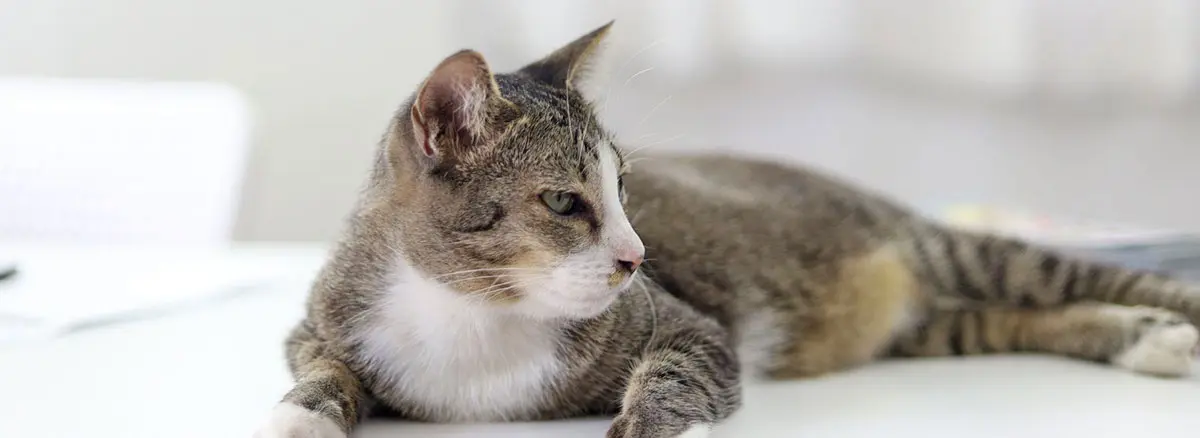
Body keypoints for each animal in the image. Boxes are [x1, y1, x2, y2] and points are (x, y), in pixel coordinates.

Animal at [255, 23, 1200, 436]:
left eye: (624, 188)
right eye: (564, 203)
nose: (637, 256)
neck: (475, 319)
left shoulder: (689, 324)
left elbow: (681, 368)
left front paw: (647, 425)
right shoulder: (317, 324)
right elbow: (323, 369)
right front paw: (302, 418)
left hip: (954, 251)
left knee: (1077, 278)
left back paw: (1167, 322)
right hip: (931, 324)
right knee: (1017, 319)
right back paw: (1144, 336)